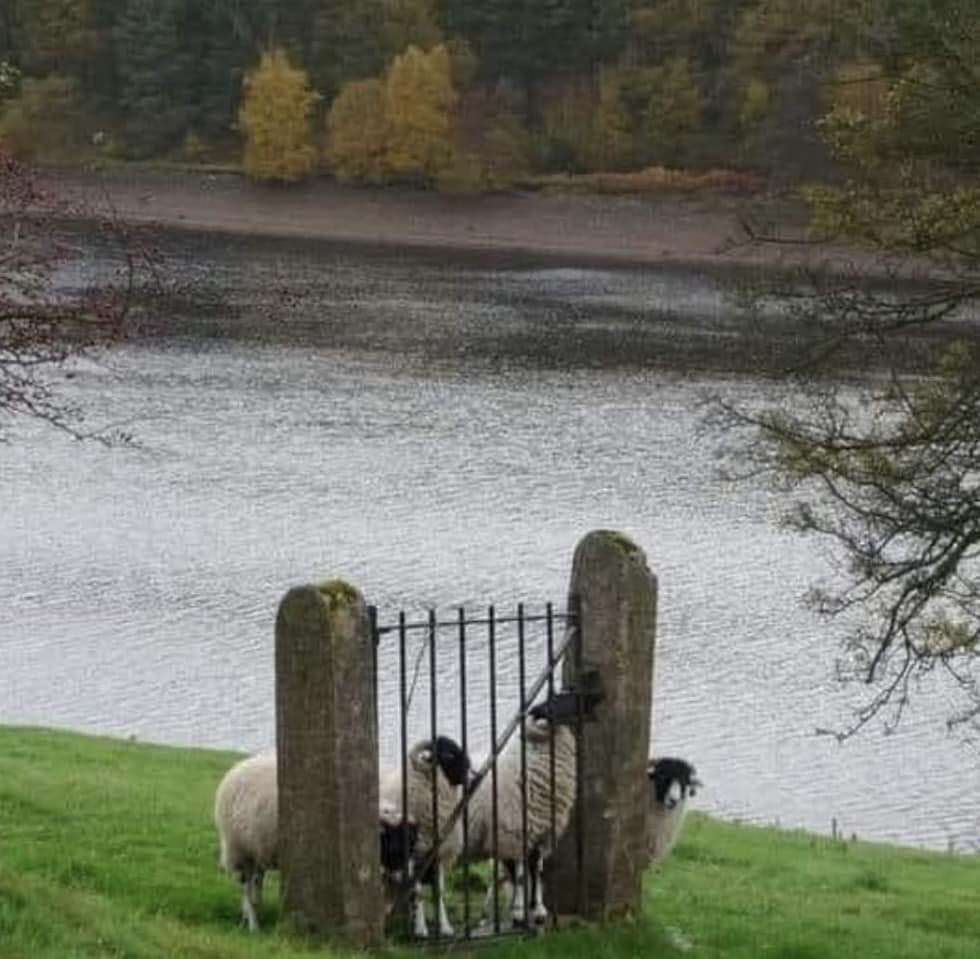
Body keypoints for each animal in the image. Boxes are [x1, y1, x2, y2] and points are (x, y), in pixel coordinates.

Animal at [212, 752, 416, 928]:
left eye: (411, 844)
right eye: (395, 845)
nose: (408, 877)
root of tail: (236, 769)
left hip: (257, 848)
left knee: (256, 881)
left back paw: (252, 912)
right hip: (239, 849)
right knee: (245, 886)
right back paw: (253, 924)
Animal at [378, 736, 470, 936]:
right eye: (448, 754)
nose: (468, 768)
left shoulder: (437, 855)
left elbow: (439, 892)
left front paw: (445, 926)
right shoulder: (416, 856)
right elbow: (417, 892)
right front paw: (420, 929)